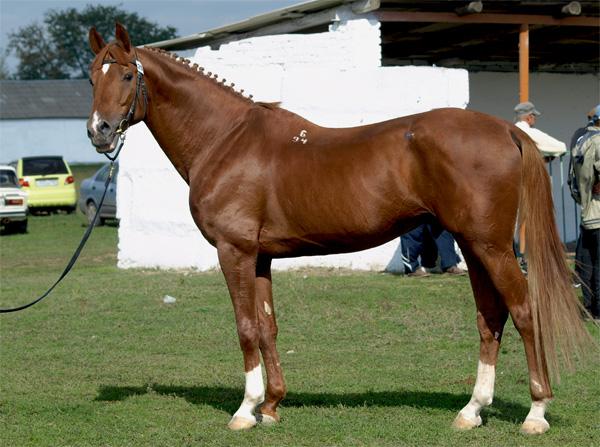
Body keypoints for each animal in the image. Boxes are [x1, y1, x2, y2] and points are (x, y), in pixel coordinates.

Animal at [88, 24, 592, 434]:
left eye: (128, 76)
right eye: (93, 76)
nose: (99, 132)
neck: (226, 139)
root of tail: (507, 130)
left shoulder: (234, 251)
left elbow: (246, 327)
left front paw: (245, 410)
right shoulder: (261, 256)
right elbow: (268, 327)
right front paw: (271, 406)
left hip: (492, 247)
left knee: (523, 311)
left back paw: (536, 412)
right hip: (473, 245)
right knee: (490, 317)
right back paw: (472, 410)